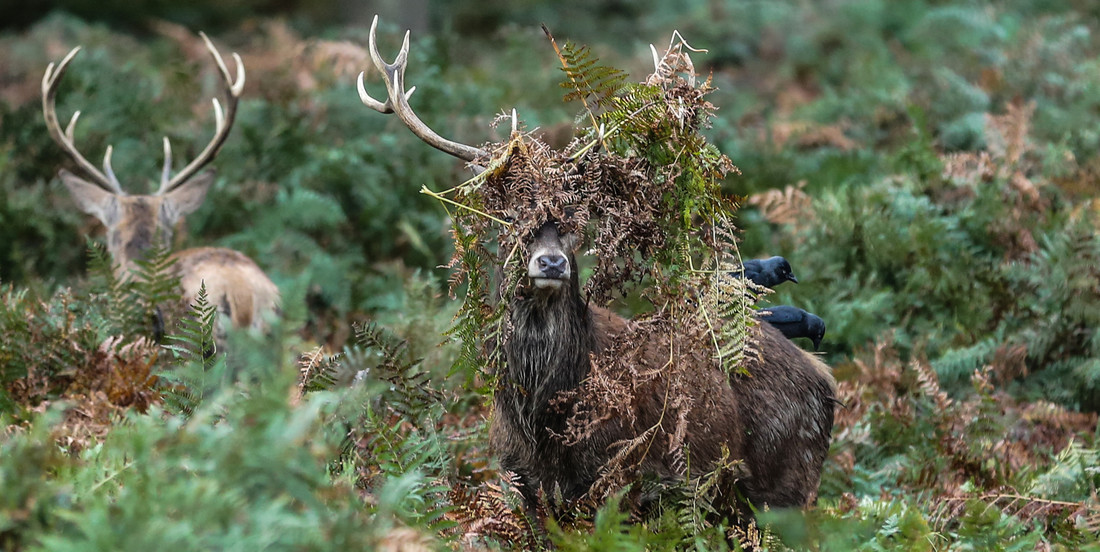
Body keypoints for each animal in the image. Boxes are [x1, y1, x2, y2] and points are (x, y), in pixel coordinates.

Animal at [358, 17, 831, 514]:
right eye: (512, 218)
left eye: (574, 219)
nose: (550, 262)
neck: (542, 425)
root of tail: (826, 381)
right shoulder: (518, 477)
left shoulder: (618, 478)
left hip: (787, 482)